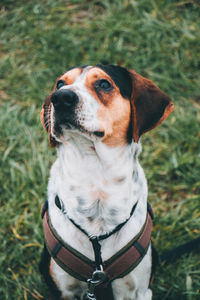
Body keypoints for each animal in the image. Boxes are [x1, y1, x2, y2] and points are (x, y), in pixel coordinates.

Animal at [39, 64, 173, 298]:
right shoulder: (63, 290)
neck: (96, 175)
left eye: (104, 84)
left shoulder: (139, 291)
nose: (60, 97)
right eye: (60, 83)